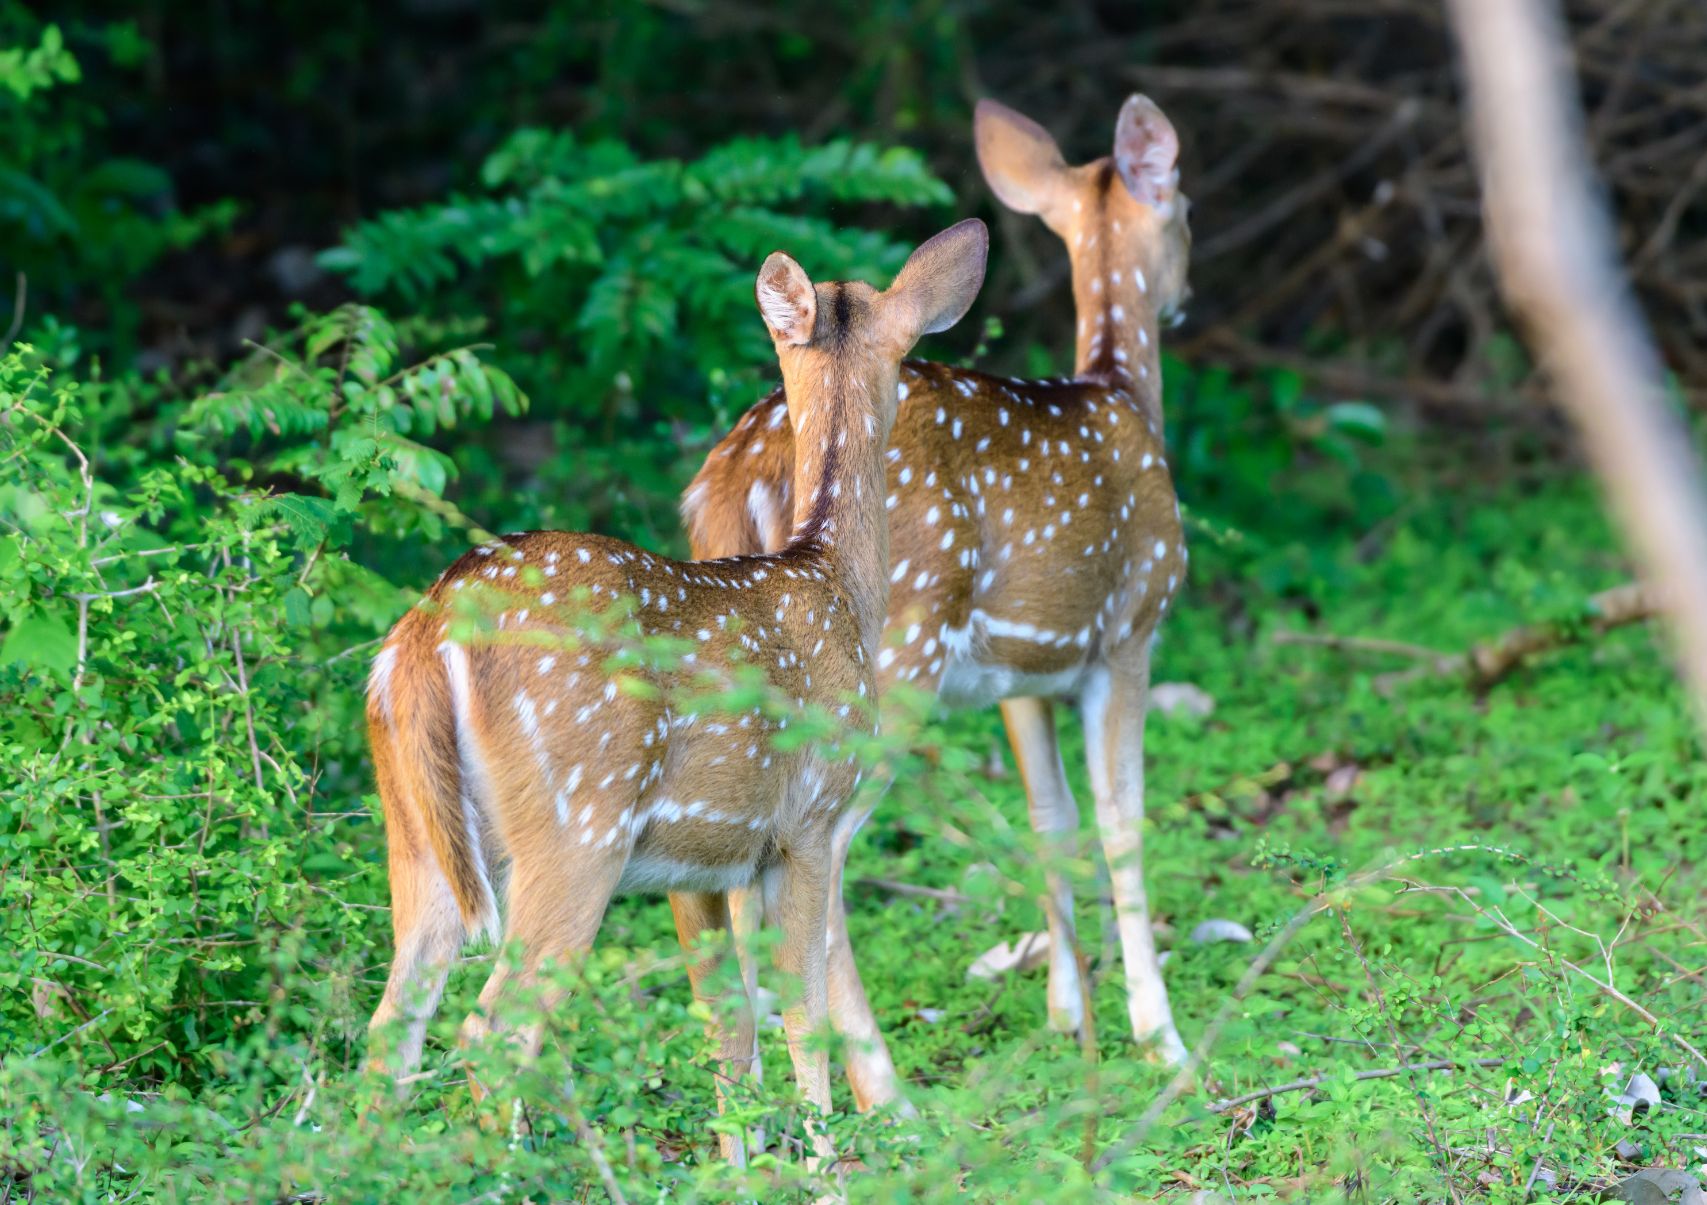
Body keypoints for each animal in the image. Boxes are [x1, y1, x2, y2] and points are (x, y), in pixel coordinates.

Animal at [367, 218, 996, 1160]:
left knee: (389, 1031)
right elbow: (801, 1013)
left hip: (416, 835)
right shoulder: (807, 821)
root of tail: (429, 631)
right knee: (492, 1031)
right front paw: (822, 1166)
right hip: (576, 826)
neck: (834, 580)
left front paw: (742, 1167)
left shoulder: (703, 861)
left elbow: (727, 1026)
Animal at [682, 96, 1201, 1106]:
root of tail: (731, 483)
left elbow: (1052, 820)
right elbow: (1121, 821)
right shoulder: (1129, 630)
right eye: (1188, 210)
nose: (1187, 290)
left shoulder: (1022, 674)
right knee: (825, 866)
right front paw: (1161, 1038)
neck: (1123, 390)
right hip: (896, 660)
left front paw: (1065, 1013)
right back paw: (888, 1095)